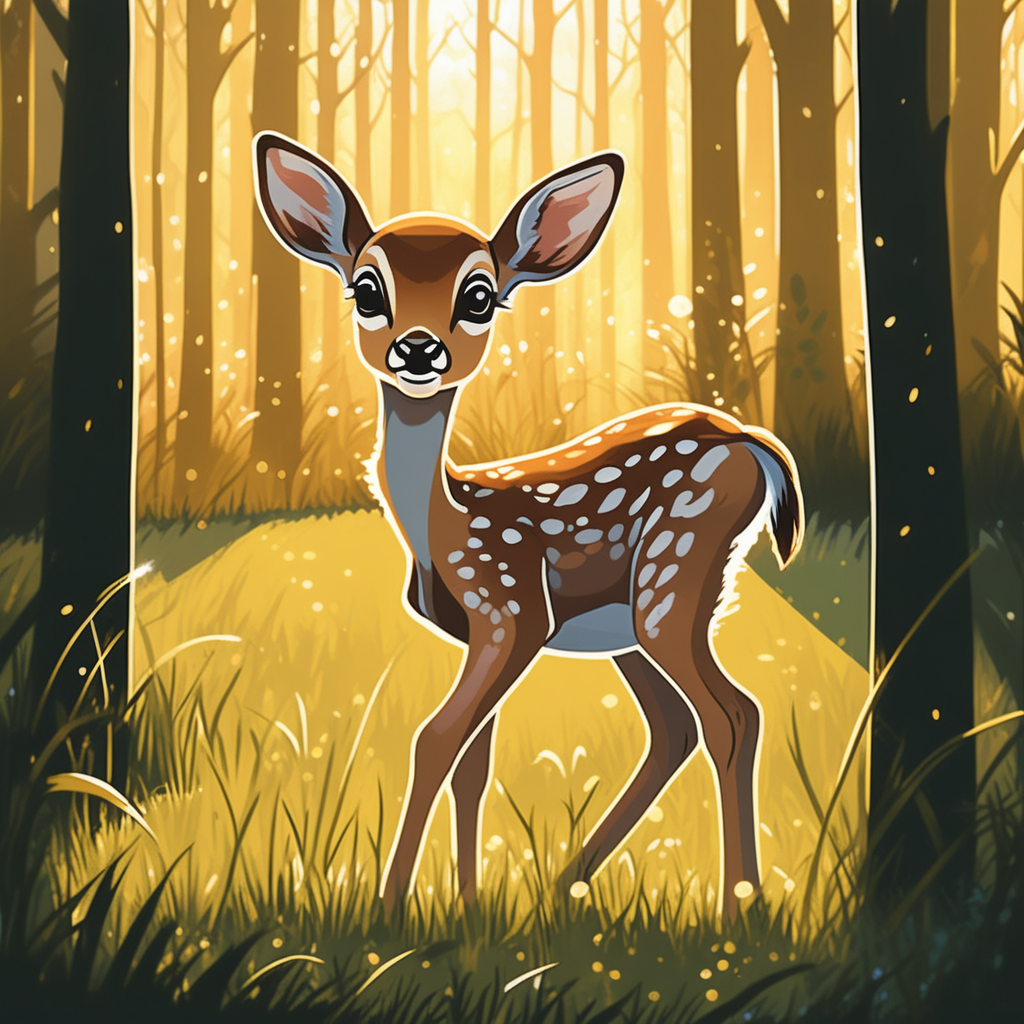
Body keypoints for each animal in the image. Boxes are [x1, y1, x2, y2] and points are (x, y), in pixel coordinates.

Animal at [253, 132, 804, 918]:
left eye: (479, 296)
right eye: (367, 290)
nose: (418, 349)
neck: (445, 526)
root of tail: (748, 441)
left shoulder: (510, 609)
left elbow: (433, 739)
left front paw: (388, 908)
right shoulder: (478, 632)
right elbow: (470, 763)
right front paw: (466, 907)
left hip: (675, 572)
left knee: (731, 717)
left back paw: (736, 909)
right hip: (631, 622)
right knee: (676, 728)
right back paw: (568, 883)